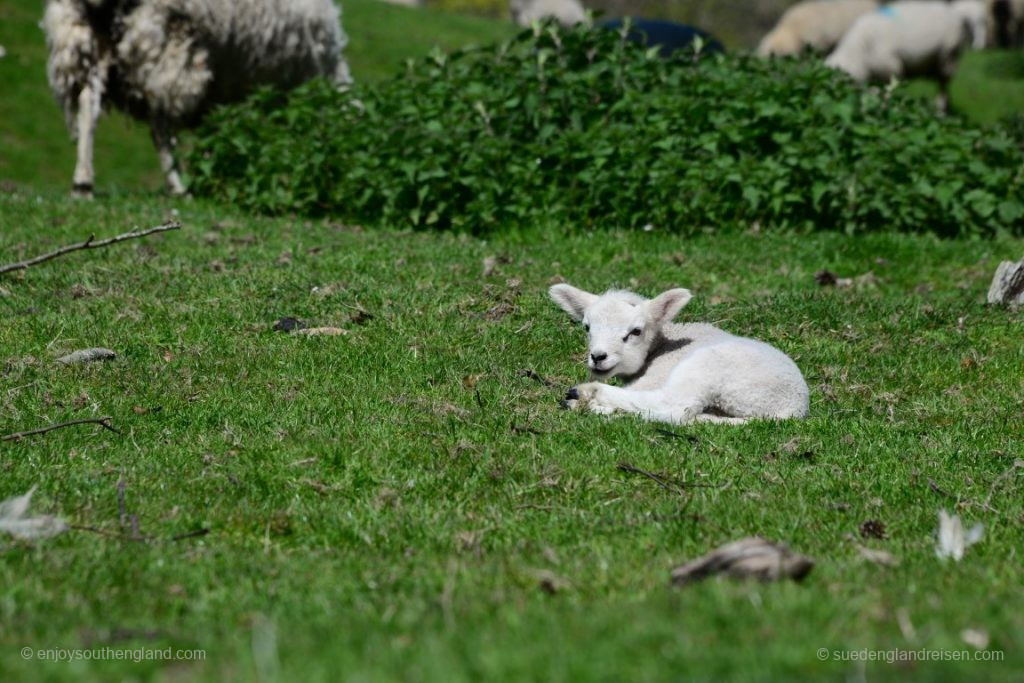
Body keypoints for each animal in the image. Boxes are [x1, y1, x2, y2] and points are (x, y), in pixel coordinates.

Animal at [43, 0, 352, 197]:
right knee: (159, 127)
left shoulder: (225, 90)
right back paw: (178, 186)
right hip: (170, 46)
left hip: (80, 37)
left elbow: (217, 132)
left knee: (88, 106)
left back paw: (83, 183)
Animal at [548, 284, 811, 423]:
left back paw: (585, 396)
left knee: (674, 406)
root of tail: (792, 408)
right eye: (587, 327)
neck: (659, 348)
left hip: (710, 369)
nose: (598, 357)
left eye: (636, 331)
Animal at [823, 1, 966, 111]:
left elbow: (886, 92)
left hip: (948, 57)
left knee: (943, 86)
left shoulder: (891, 69)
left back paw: (940, 111)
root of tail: (951, 10)